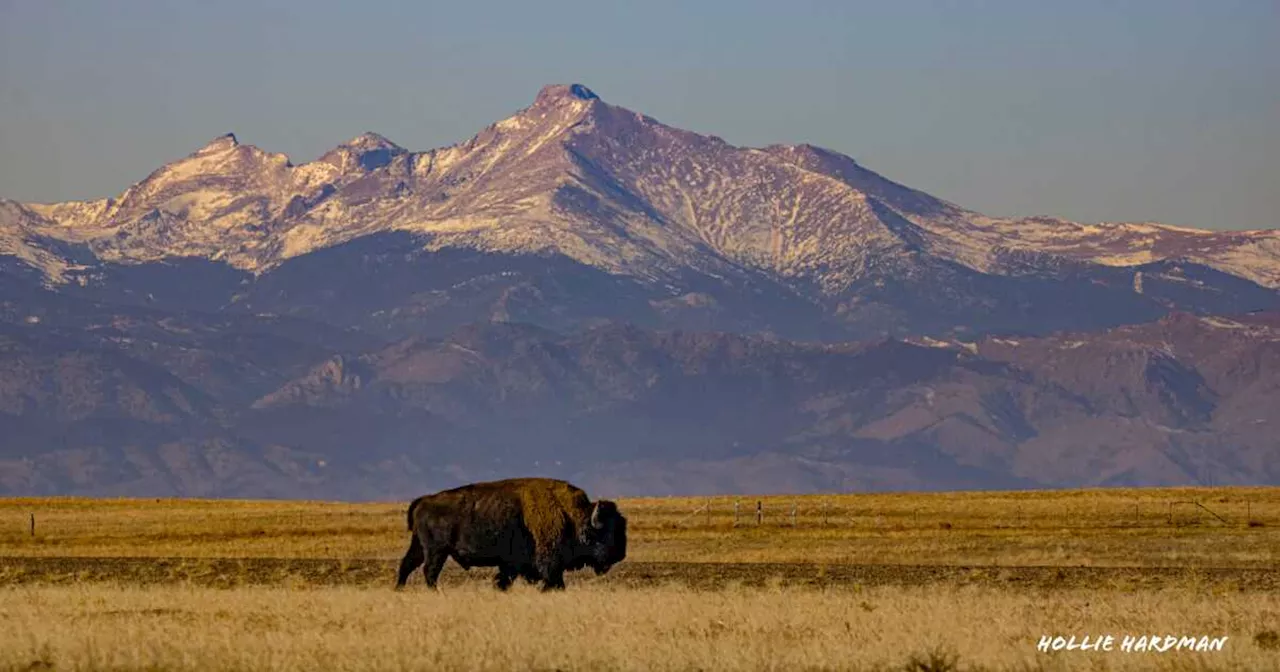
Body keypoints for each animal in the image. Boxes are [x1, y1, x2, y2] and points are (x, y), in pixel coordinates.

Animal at [391, 473, 627, 588]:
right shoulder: (550, 565)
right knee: (429, 572)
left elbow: (504, 579)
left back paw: (399, 589)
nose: (620, 555)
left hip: (419, 546)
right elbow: (554, 582)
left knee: (407, 565)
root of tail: (424, 500)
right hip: (437, 551)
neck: (571, 516)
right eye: (607, 533)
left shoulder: (511, 564)